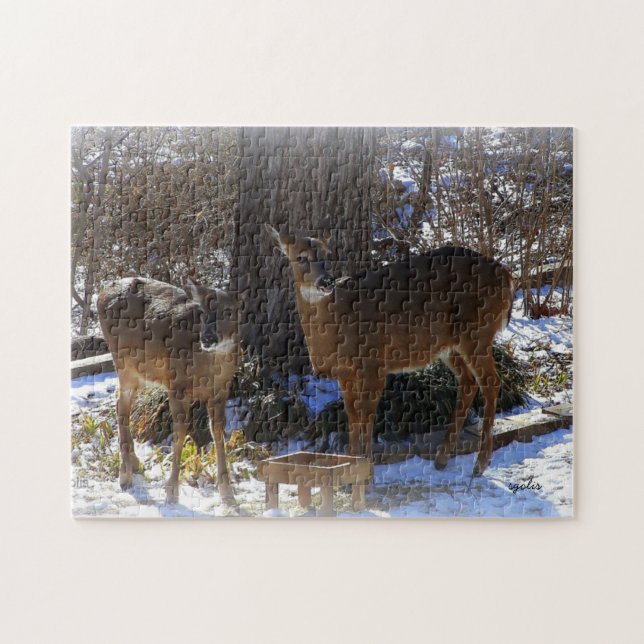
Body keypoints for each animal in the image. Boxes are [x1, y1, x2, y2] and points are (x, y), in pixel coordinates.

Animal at [97, 276, 239, 505]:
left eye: (228, 311)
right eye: (202, 312)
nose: (207, 338)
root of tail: (100, 293)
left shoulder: (221, 391)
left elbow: (218, 434)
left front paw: (228, 494)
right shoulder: (176, 386)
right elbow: (179, 435)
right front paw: (171, 492)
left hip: (141, 371)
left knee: (122, 403)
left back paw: (134, 465)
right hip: (123, 362)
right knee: (121, 404)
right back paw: (125, 475)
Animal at [266, 224, 514, 508]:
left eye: (328, 255)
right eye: (301, 257)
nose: (326, 281)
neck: (338, 324)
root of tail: (508, 276)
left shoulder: (374, 364)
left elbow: (366, 417)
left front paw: (366, 476)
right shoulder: (345, 374)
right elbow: (353, 419)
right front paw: (351, 473)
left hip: (478, 333)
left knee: (491, 382)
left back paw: (480, 465)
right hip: (449, 344)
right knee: (469, 382)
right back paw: (442, 459)